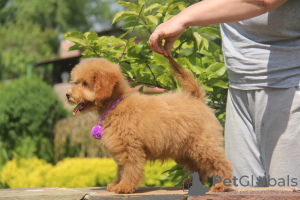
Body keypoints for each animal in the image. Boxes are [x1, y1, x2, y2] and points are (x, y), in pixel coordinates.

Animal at [67, 56, 233, 194]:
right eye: (77, 82)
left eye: (85, 84)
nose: (67, 95)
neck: (116, 104)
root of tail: (196, 98)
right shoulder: (121, 148)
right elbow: (120, 170)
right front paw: (116, 184)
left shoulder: (130, 148)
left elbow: (129, 169)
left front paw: (124, 187)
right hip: (185, 150)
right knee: (199, 168)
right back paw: (192, 183)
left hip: (202, 143)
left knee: (221, 162)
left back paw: (222, 185)